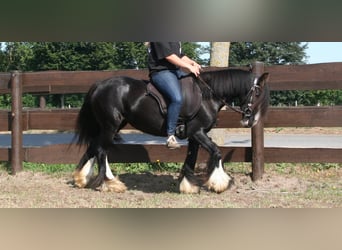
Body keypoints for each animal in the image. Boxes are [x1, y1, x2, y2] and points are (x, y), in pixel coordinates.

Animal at [73, 68, 270, 193]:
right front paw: (220, 183)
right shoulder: (198, 132)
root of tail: (99, 84)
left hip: (112, 126)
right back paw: (110, 183)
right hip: (110, 126)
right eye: (257, 93)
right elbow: (216, 151)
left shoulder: (194, 136)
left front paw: (188, 185)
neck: (207, 96)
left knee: (94, 147)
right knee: (101, 151)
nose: (250, 120)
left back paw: (82, 179)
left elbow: (191, 159)